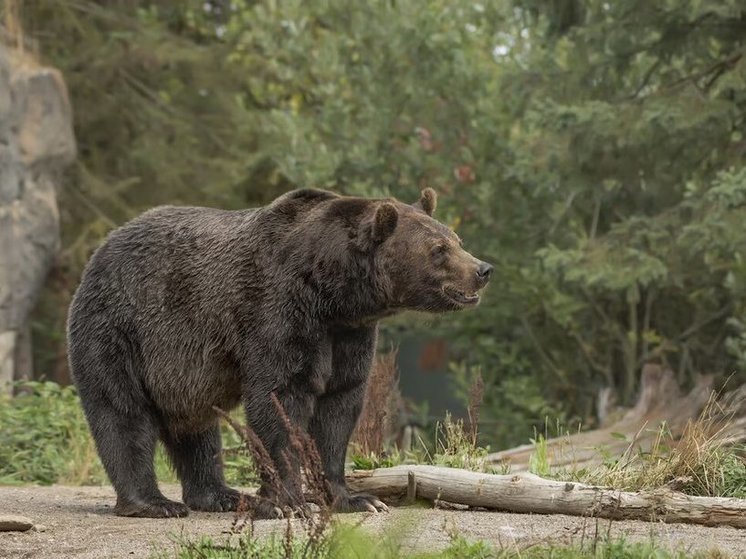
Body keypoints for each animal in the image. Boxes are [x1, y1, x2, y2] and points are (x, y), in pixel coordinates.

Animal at [67, 189, 492, 520]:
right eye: (438, 250)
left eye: (456, 239)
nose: (483, 269)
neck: (332, 293)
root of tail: (100, 249)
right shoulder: (278, 311)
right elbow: (279, 400)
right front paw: (287, 502)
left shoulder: (348, 335)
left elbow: (339, 407)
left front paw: (355, 498)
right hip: (121, 328)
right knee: (123, 413)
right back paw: (154, 503)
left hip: (181, 371)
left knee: (197, 428)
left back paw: (221, 495)